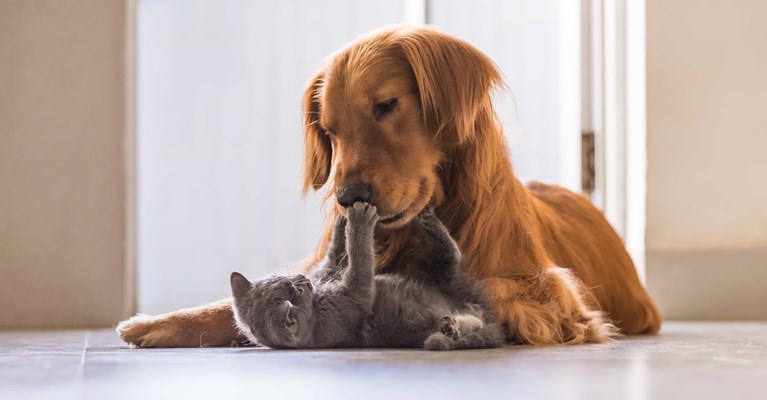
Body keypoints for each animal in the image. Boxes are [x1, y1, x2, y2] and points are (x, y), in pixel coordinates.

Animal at [231, 203, 508, 350]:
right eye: (295, 291)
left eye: (286, 281)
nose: (303, 280)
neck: (317, 305)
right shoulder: (351, 299)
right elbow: (360, 262)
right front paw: (359, 218)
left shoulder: (327, 272)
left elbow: (334, 255)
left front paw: (341, 218)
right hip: (441, 277)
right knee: (453, 260)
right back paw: (451, 326)